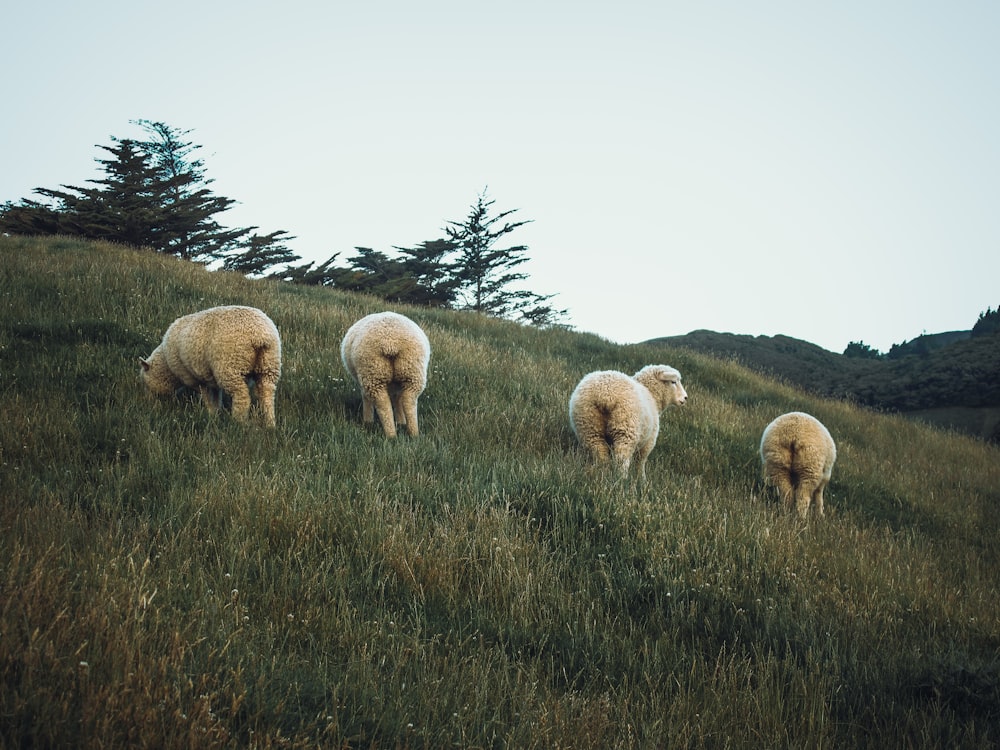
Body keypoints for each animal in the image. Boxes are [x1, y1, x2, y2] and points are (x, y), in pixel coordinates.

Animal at [140, 302, 282, 426]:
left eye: (145, 381)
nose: (148, 401)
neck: (167, 366)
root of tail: (259, 336)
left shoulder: (197, 378)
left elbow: (207, 397)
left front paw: (210, 414)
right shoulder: (210, 378)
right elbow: (216, 396)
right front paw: (216, 413)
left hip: (230, 367)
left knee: (241, 396)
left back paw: (238, 421)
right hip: (269, 365)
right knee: (266, 394)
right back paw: (270, 423)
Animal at [340, 312, 430, 440]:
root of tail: (390, 342)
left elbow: (366, 398)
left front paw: (368, 421)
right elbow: (397, 399)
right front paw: (401, 421)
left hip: (373, 373)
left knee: (383, 405)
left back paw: (391, 434)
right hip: (412, 372)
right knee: (409, 400)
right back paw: (413, 433)